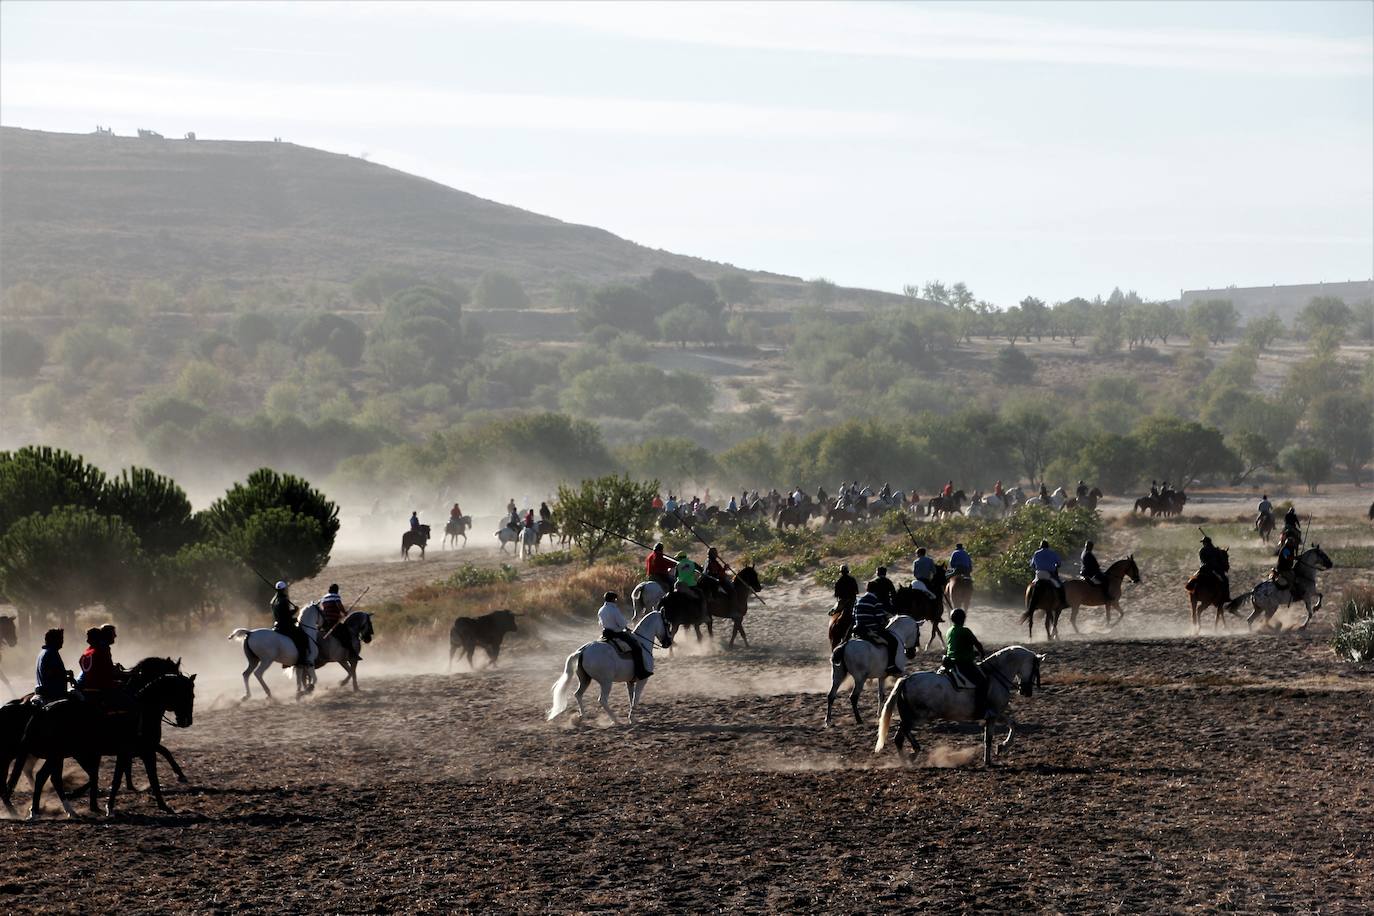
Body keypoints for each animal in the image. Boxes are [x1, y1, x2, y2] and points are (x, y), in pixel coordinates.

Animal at [13, 670, 195, 818]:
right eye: (188, 695)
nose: (186, 721)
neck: (143, 712)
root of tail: (43, 709)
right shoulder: (144, 752)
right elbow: (150, 778)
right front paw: (164, 805)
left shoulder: (130, 753)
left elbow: (120, 779)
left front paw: (109, 806)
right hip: (58, 754)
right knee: (44, 777)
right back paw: (40, 812)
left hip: (58, 755)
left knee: (49, 778)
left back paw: (62, 810)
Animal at [546, 612, 676, 725]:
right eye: (667, 623)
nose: (668, 643)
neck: (642, 643)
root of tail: (582, 651)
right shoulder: (642, 680)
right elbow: (636, 698)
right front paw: (631, 718)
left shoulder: (630, 681)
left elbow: (631, 698)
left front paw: (632, 717)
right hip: (606, 682)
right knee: (602, 700)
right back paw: (615, 720)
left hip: (585, 679)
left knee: (578, 694)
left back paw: (581, 717)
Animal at [873, 648, 1044, 769]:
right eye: (1035, 668)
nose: (1026, 691)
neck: (996, 675)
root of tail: (906, 680)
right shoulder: (994, 714)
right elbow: (992, 736)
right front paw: (996, 752)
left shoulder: (994, 714)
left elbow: (1009, 726)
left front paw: (996, 752)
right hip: (919, 717)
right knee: (899, 737)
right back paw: (909, 759)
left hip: (912, 717)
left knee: (903, 733)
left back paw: (914, 752)